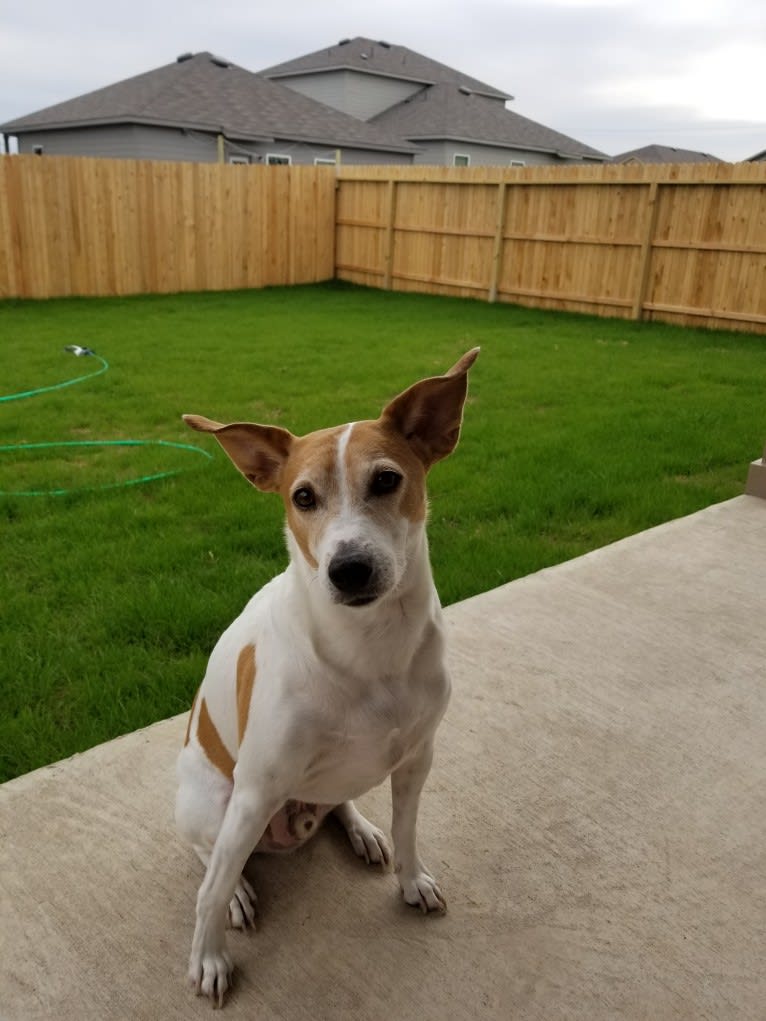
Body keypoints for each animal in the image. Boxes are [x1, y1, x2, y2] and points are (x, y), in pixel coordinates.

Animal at [175, 349, 480, 1004]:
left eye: (386, 480)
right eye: (303, 496)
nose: (349, 569)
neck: (370, 649)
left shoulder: (417, 760)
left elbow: (409, 831)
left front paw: (411, 880)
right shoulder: (255, 789)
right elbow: (209, 891)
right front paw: (209, 958)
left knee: (337, 803)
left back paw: (360, 829)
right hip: (216, 802)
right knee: (209, 858)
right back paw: (239, 891)